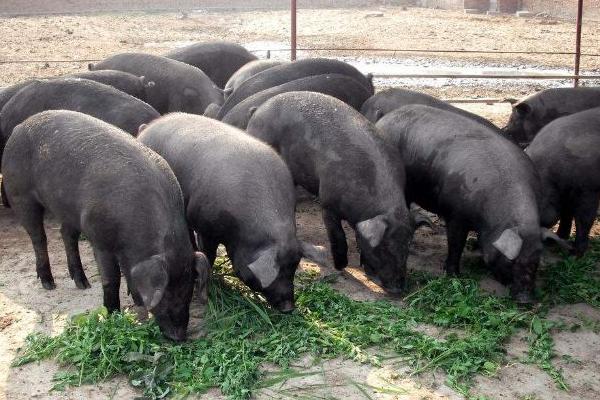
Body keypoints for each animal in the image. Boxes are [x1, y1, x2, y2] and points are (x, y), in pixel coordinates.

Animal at [1, 110, 209, 341]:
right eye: (165, 293)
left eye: (188, 290)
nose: (179, 337)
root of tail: (19, 127)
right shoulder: (99, 238)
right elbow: (112, 279)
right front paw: (113, 317)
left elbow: (129, 274)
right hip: (20, 193)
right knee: (39, 237)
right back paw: (49, 284)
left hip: (69, 210)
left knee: (67, 235)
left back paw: (82, 284)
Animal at [138, 113, 328, 312]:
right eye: (278, 271)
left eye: (293, 268)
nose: (289, 307)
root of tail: (146, 128)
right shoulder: (205, 226)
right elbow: (209, 254)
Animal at [246, 91, 415, 294]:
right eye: (383, 248)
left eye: (407, 246)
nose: (398, 289)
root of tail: (258, 110)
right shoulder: (327, 203)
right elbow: (337, 235)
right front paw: (340, 266)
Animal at [376, 105, 570, 303]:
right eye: (511, 261)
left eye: (536, 260)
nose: (526, 299)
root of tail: (387, 117)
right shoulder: (456, 215)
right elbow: (456, 245)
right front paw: (453, 275)